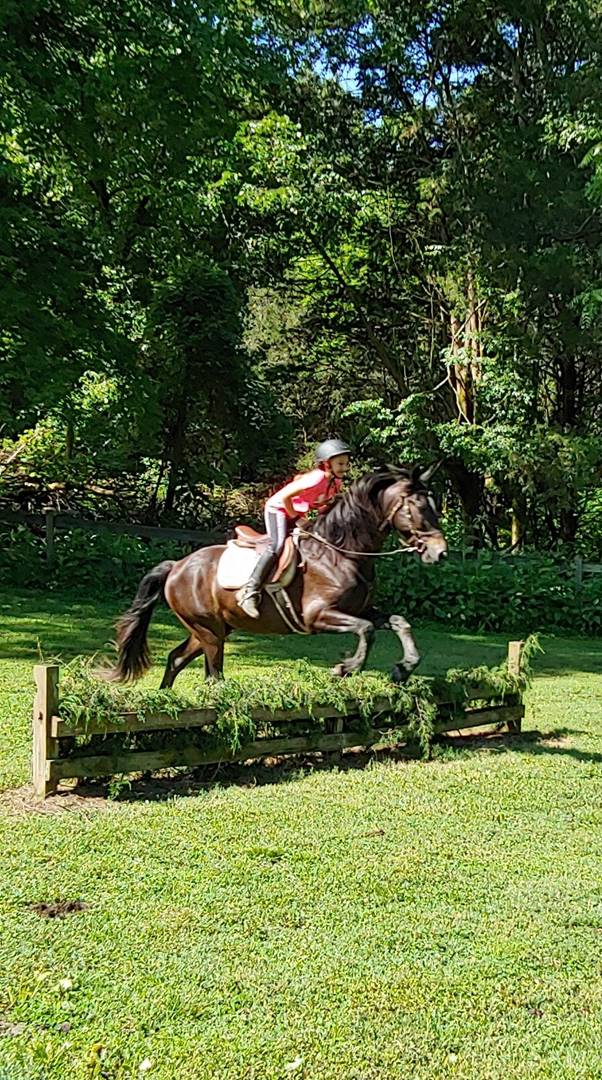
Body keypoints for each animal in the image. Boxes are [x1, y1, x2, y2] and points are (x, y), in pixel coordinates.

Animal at [103, 465, 447, 688]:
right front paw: (345, 668)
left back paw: (165, 699)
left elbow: (399, 623)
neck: (342, 553)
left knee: (176, 659)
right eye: (418, 508)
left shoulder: (362, 610)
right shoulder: (318, 616)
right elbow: (366, 630)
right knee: (213, 674)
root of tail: (177, 566)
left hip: (212, 628)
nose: (441, 553)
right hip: (209, 630)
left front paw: (404, 668)